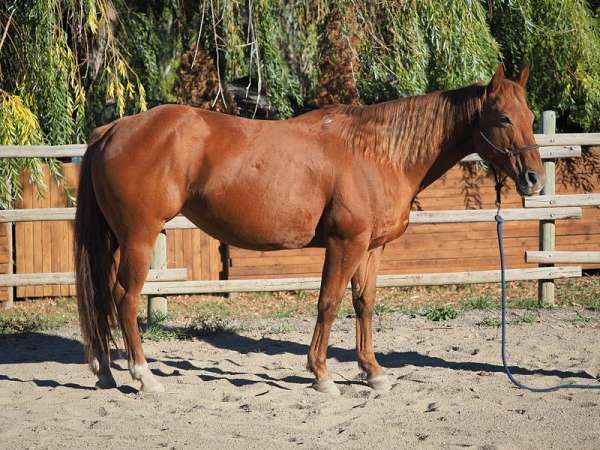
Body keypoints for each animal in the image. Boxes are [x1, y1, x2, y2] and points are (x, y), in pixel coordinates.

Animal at [74, 63, 544, 394]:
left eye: (529, 113)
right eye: (503, 118)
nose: (534, 178)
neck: (377, 154)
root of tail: (111, 129)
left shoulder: (371, 249)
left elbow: (364, 305)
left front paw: (373, 372)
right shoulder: (344, 244)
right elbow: (329, 303)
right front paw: (321, 375)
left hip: (116, 240)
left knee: (102, 298)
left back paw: (105, 373)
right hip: (139, 239)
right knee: (124, 298)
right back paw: (144, 376)